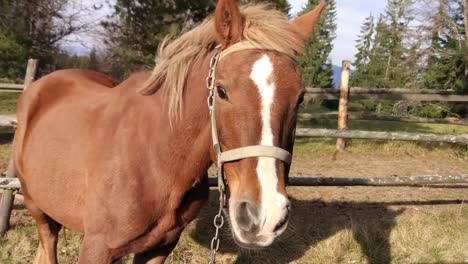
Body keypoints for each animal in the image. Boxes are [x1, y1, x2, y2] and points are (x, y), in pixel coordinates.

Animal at [11, 1, 326, 262]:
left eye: (299, 98)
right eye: (222, 91)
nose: (265, 216)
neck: (156, 161)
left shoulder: (161, 246)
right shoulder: (97, 248)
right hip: (37, 207)